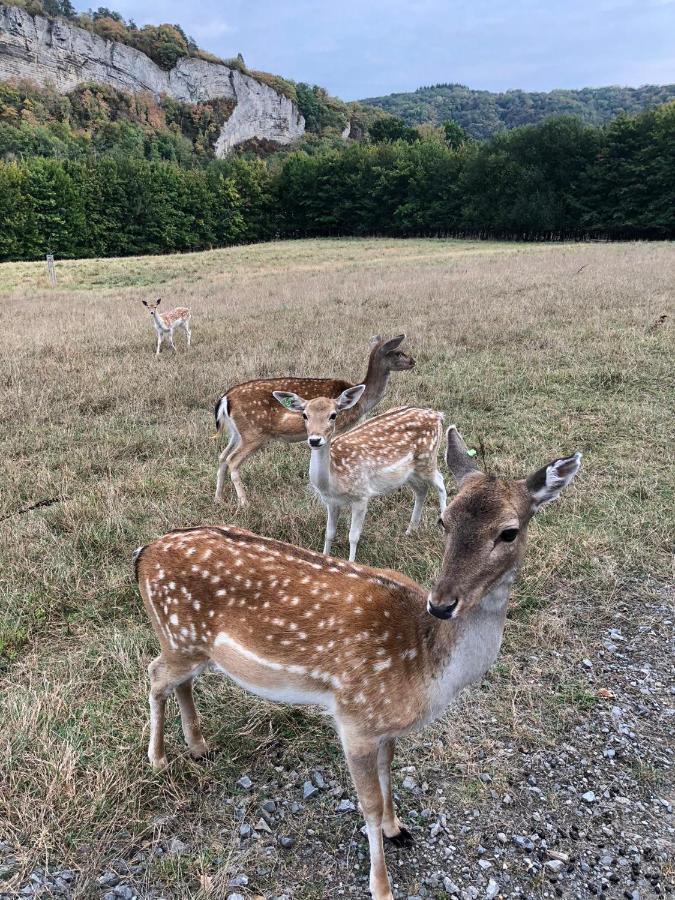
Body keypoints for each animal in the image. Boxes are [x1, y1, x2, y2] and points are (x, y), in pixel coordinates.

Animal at [136, 428, 580, 900]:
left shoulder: (385, 724)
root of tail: (143, 553)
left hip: (192, 646)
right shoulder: (355, 717)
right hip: (178, 636)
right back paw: (159, 759)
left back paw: (198, 746)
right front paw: (381, 885)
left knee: (177, 680)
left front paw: (396, 828)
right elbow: (367, 802)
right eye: (444, 521)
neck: (424, 663)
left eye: (510, 532)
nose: (442, 604)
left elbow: (388, 775)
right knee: (155, 674)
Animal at [214, 336, 414, 506]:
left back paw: (219, 499)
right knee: (232, 460)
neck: (362, 401)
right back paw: (244, 503)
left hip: (237, 433)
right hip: (254, 432)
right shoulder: (339, 428)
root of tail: (226, 398)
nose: (413, 361)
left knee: (223, 456)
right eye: (398, 352)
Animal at [272, 384, 452, 560]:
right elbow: (329, 533)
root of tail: (438, 415)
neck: (333, 480)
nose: (315, 440)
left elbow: (353, 537)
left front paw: (351, 562)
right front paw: (325, 558)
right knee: (421, 490)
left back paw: (443, 528)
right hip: (409, 472)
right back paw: (410, 530)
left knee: (440, 481)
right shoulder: (331, 502)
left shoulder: (361, 495)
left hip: (427, 459)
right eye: (304, 415)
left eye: (333, 415)